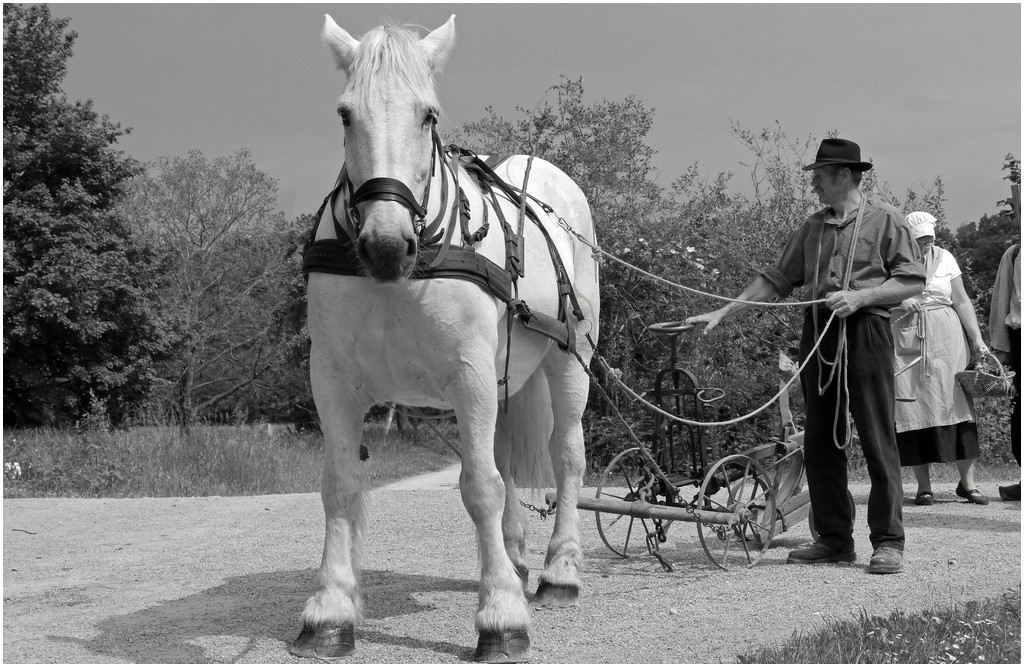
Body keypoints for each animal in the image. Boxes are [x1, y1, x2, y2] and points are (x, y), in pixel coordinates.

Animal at [292, 14, 598, 663]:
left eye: (428, 115)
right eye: (345, 115)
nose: (386, 246)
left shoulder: (470, 375)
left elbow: (480, 485)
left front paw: (501, 617)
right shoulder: (332, 379)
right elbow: (340, 485)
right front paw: (330, 609)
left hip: (569, 359)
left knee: (566, 456)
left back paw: (559, 572)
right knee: (506, 458)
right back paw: (513, 559)